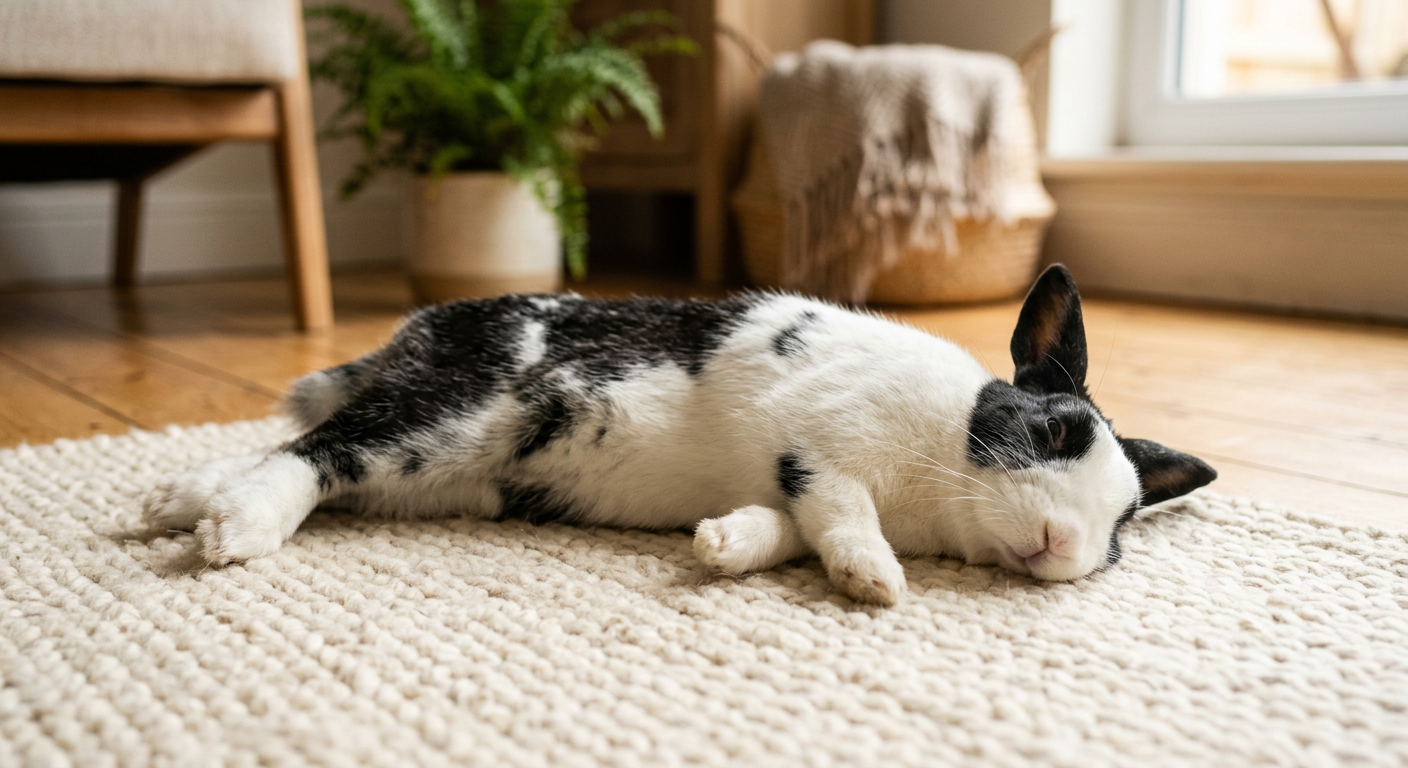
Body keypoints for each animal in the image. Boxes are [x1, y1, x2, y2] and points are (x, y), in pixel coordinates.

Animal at [145, 264, 1216, 606]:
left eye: (1122, 531)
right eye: (1057, 430)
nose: (1064, 547)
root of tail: (417, 334)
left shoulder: (789, 484)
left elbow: (785, 529)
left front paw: (721, 545)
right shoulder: (824, 444)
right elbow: (842, 512)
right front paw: (877, 581)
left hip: (445, 472)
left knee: (305, 451)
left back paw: (175, 500)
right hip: (443, 421)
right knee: (312, 455)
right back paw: (233, 531)